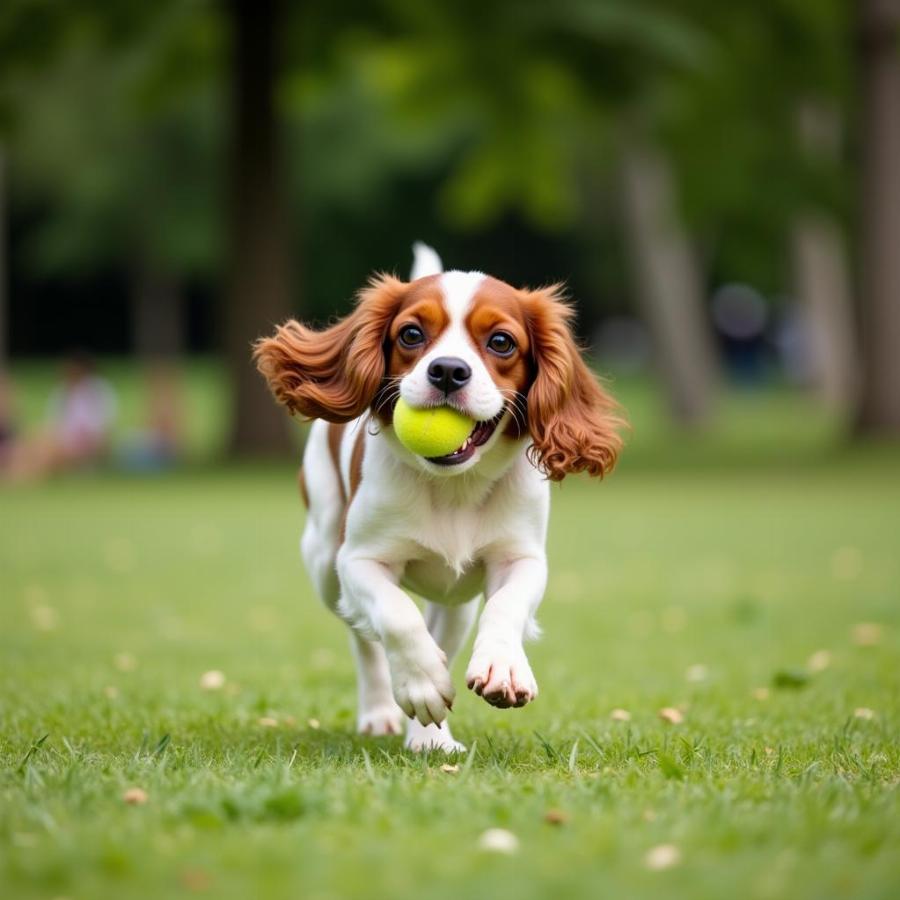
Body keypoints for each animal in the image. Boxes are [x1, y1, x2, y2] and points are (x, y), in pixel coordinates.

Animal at [251, 243, 620, 748]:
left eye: (501, 342)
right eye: (411, 334)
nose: (447, 370)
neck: (453, 487)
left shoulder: (522, 558)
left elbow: (505, 605)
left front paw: (501, 668)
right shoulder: (358, 560)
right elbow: (396, 617)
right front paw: (422, 684)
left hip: (455, 603)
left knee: (439, 634)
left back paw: (431, 737)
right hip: (325, 561)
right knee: (363, 637)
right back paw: (384, 712)